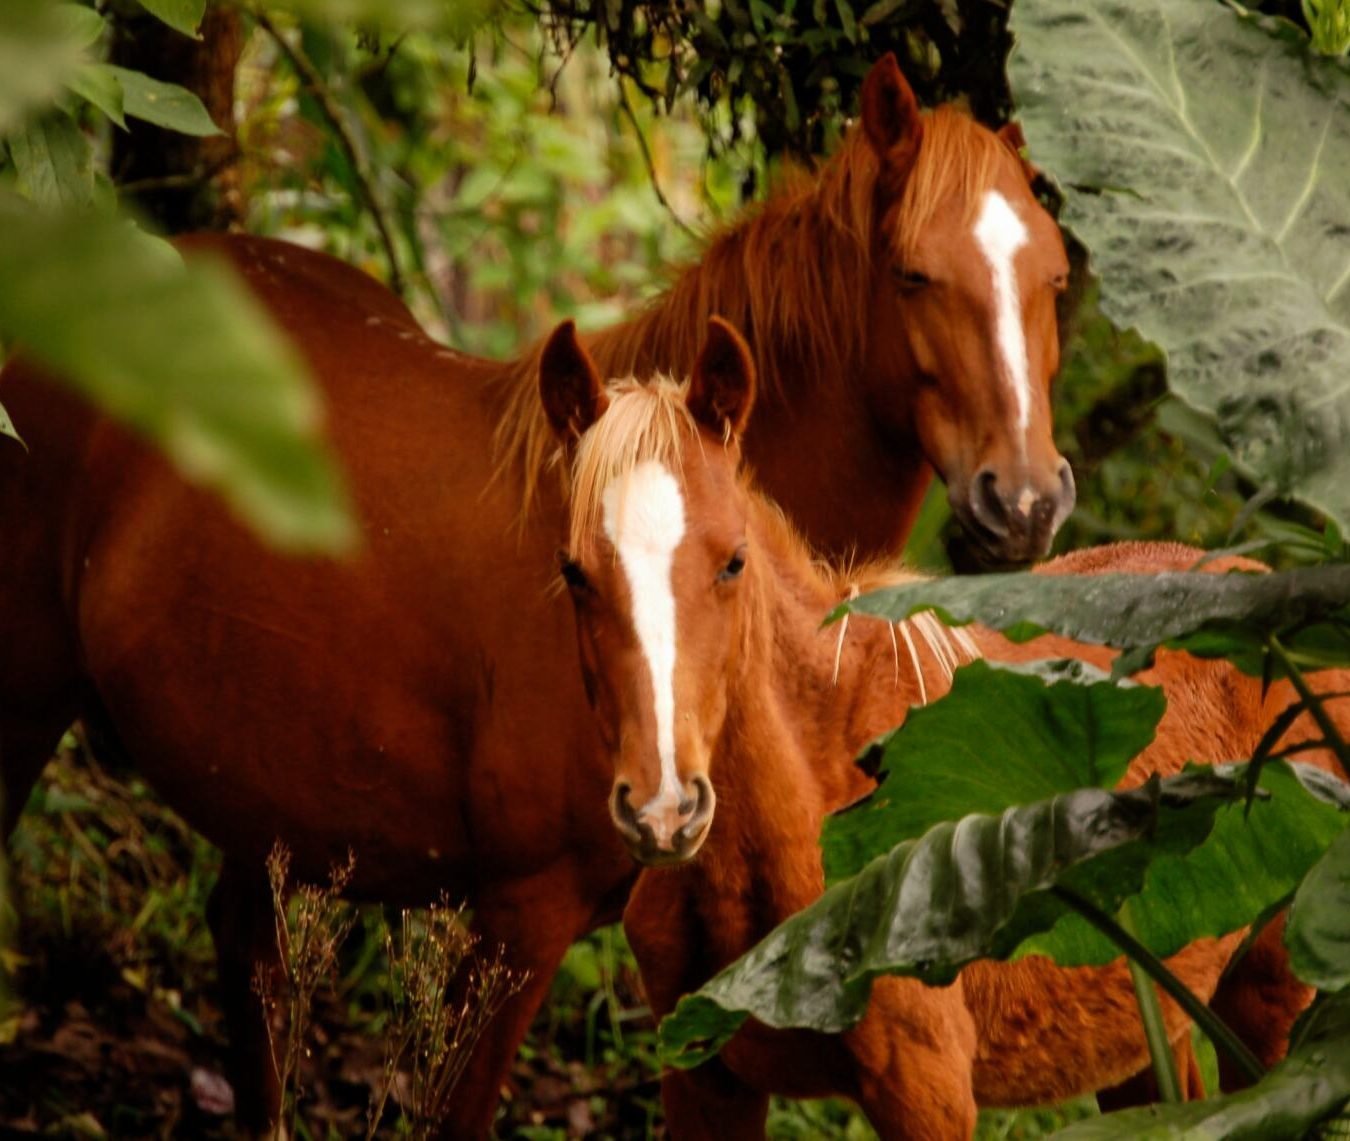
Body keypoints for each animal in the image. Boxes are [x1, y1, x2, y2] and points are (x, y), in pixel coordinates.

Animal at [538, 318, 1348, 1136]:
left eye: (732, 562)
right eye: (575, 574)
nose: (664, 809)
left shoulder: (926, 1094)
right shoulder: (701, 1081)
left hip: (1269, 1016)